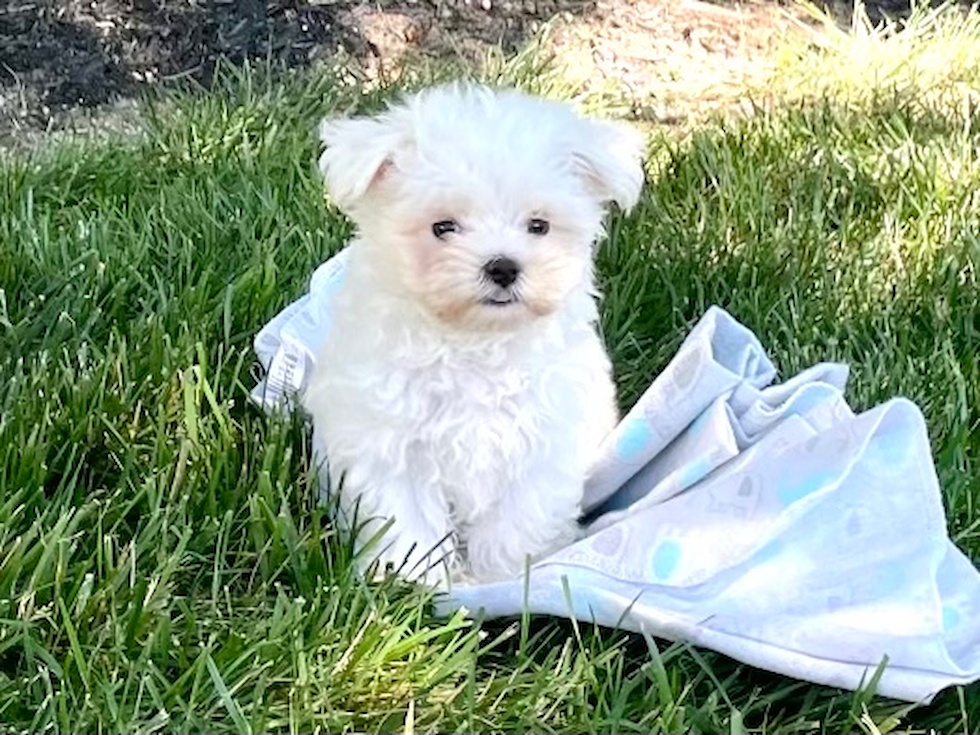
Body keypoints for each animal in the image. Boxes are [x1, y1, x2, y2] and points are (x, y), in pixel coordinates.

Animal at [302, 83, 648, 584]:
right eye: (442, 227)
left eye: (539, 225)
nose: (502, 266)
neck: (474, 343)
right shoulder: (390, 446)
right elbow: (408, 525)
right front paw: (413, 582)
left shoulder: (539, 451)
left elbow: (514, 525)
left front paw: (502, 579)